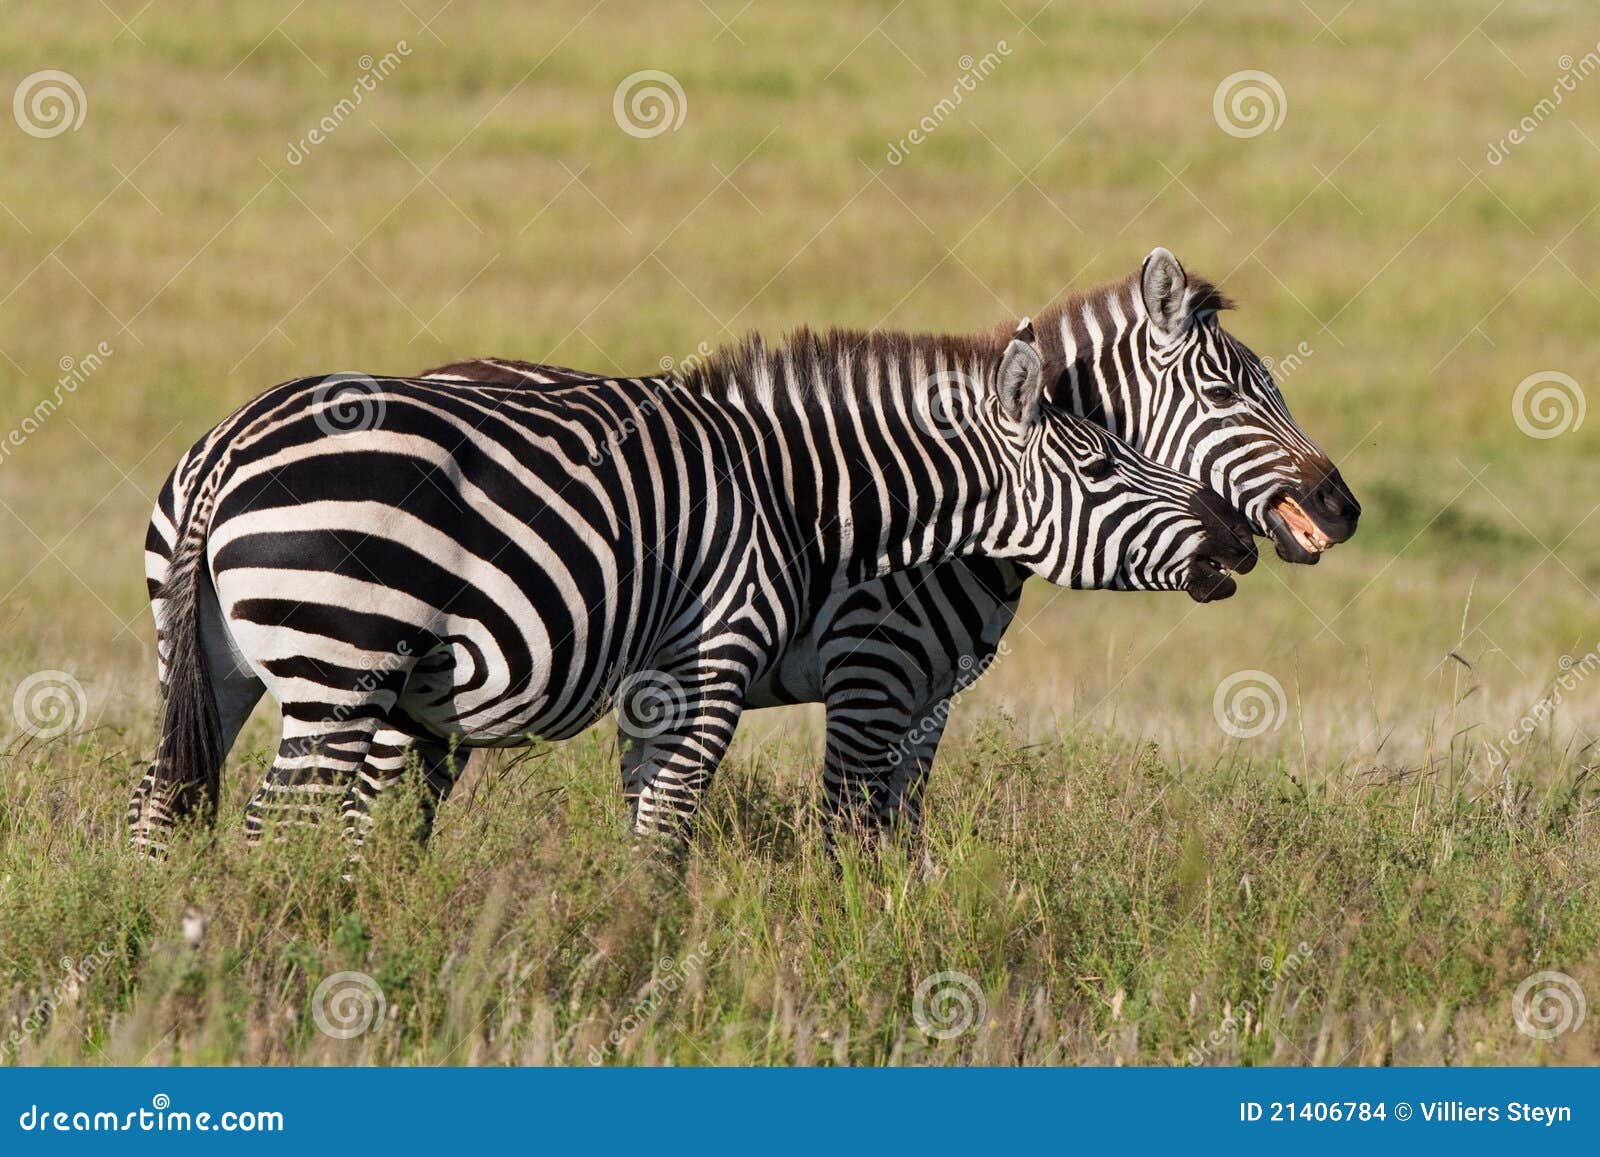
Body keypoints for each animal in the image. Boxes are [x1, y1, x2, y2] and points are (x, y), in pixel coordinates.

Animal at [128, 317, 1258, 854]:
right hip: (342, 657)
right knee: (286, 820)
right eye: (1103, 466)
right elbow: (688, 827)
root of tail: (231, 443)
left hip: (216, 658)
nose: (1238, 544)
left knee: (162, 798)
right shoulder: (726, 665)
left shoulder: (661, 684)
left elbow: (652, 826)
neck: (794, 491)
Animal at [389, 247, 1361, 839]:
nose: (1343, 506)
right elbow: (847, 835)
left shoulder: (928, 697)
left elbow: (903, 831)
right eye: (1228, 394)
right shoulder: (869, 678)